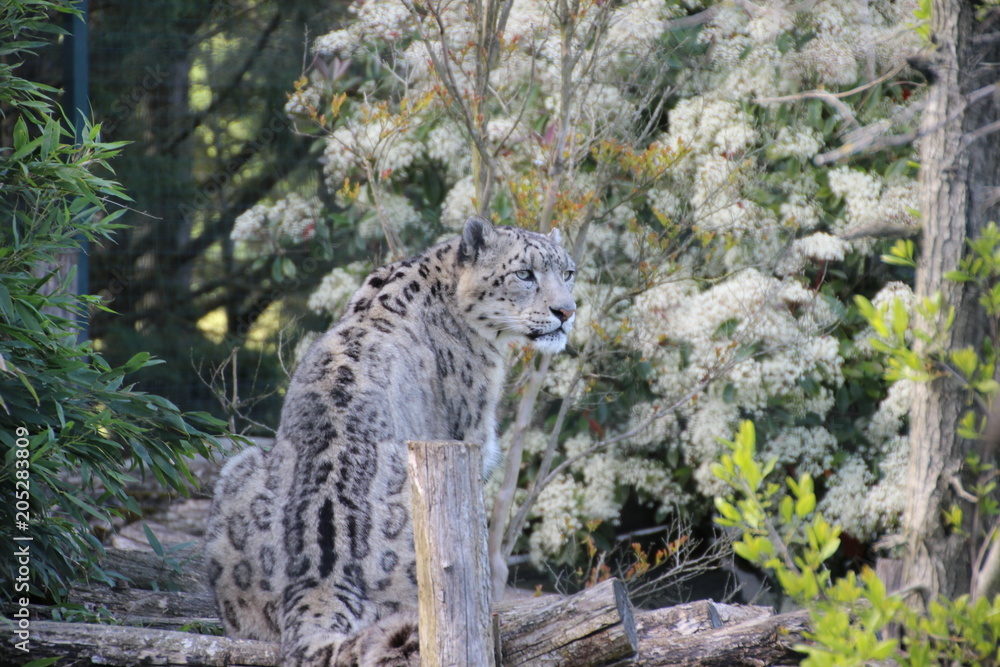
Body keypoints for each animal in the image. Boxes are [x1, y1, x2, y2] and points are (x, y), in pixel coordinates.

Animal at [205, 216, 576, 666]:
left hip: (236, 467)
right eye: (524, 274)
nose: (567, 311)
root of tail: (319, 578)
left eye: (568, 273)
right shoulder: (472, 434)